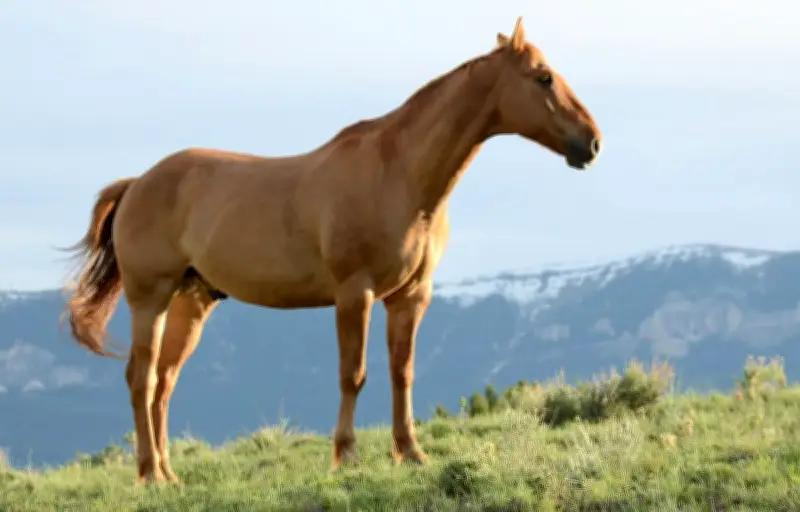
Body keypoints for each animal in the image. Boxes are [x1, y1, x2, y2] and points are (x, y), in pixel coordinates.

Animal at [62, 16, 602, 484]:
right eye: (543, 77)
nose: (592, 143)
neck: (399, 175)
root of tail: (138, 183)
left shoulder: (411, 296)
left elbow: (402, 372)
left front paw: (411, 453)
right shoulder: (354, 294)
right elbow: (353, 374)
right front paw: (347, 456)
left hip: (190, 302)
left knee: (164, 382)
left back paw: (169, 474)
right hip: (149, 298)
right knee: (141, 378)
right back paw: (150, 474)